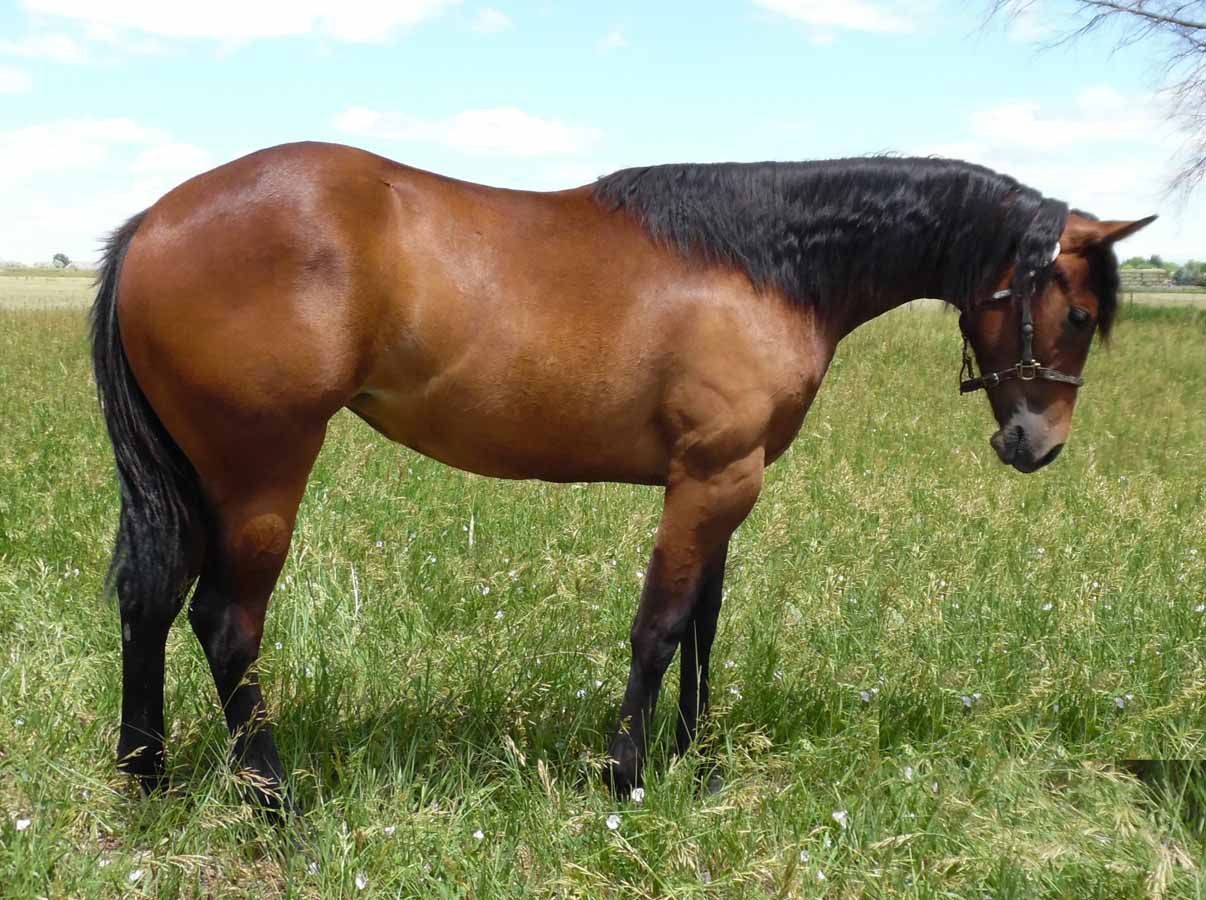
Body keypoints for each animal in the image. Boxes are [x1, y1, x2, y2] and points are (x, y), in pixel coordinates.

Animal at [90, 143, 1154, 808]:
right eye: (1072, 313)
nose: (1036, 443)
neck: (764, 264)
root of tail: (153, 220)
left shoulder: (725, 480)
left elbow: (703, 626)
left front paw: (695, 757)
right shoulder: (714, 480)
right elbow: (659, 628)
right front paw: (628, 773)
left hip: (196, 479)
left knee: (151, 602)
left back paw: (147, 776)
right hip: (262, 472)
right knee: (226, 624)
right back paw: (276, 800)